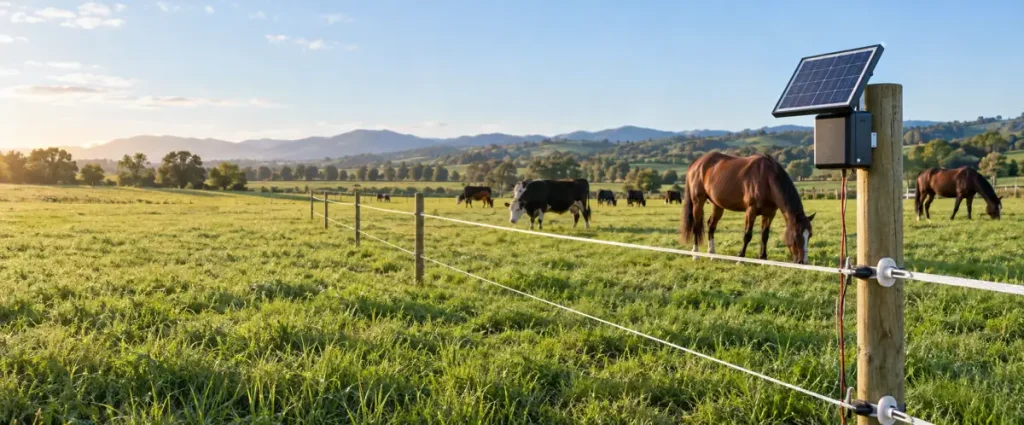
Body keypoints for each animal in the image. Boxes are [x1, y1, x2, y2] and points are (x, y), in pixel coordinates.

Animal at [681, 152, 815, 264]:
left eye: (810, 235)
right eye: (797, 234)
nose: (803, 262)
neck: (767, 178)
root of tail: (697, 162)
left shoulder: (769, 213)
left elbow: (765, 236)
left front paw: (763, 259)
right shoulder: (751, 211)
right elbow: (747, 235)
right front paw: (740, 258)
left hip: (717, 205)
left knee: (711, 226)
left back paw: (712, 254)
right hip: (698, 202)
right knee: (696, 226)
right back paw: (695, 254)